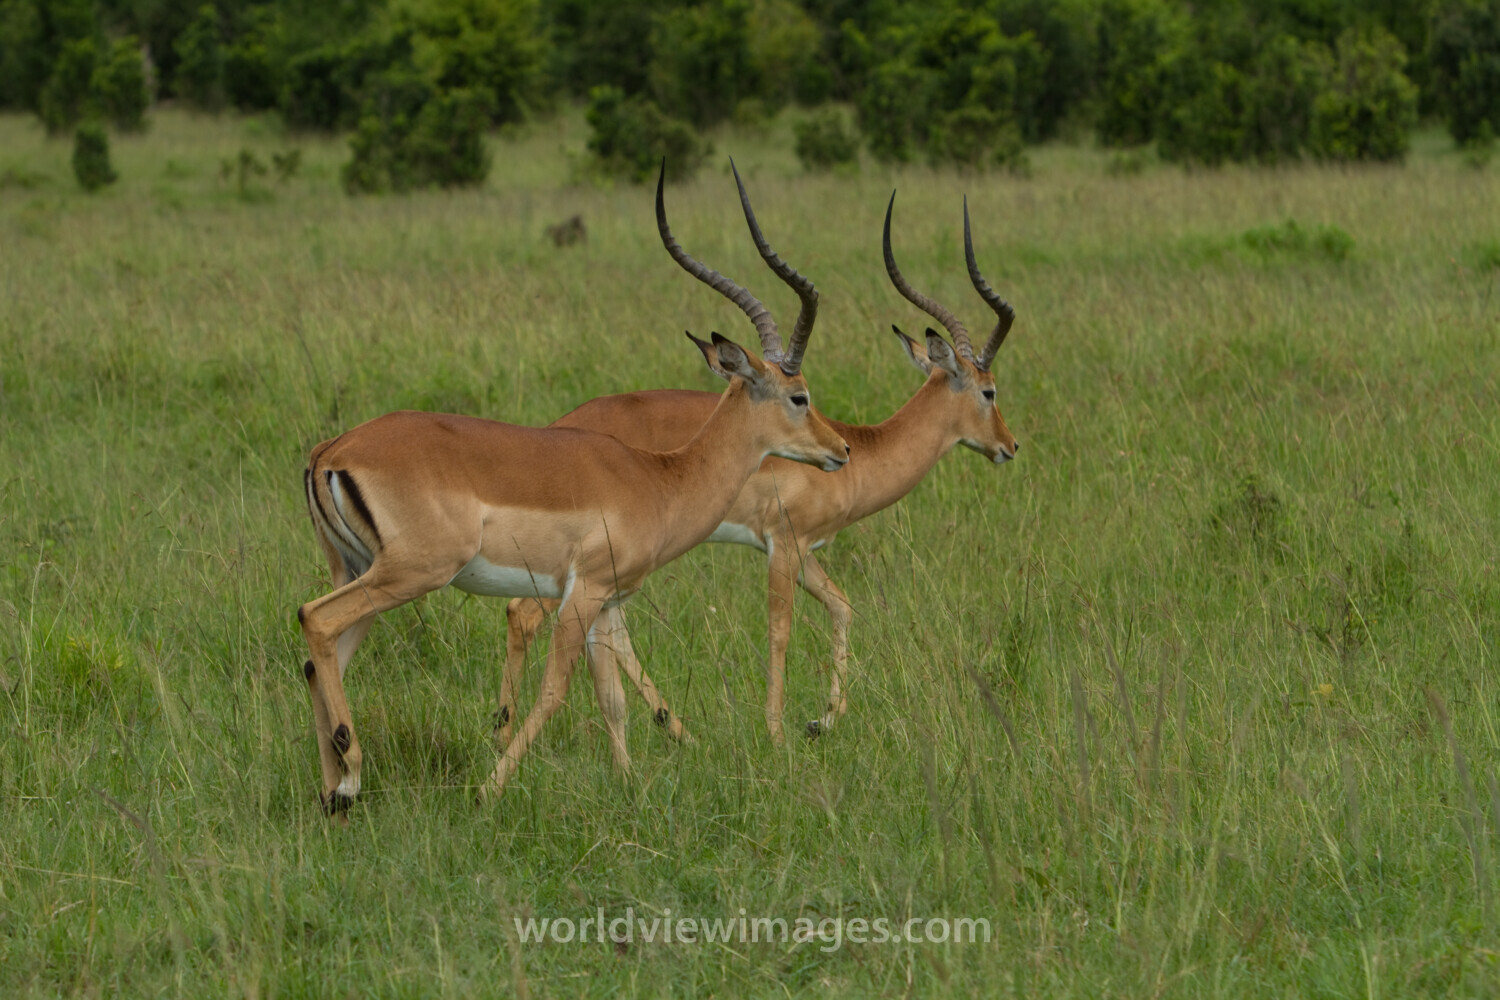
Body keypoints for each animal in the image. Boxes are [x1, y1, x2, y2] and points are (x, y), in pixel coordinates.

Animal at [297, 165, 849, 813]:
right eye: (799, 396)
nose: (842, 450)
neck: (658, 479)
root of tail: (332, 449)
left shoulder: (607, 603)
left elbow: (613, 701)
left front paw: (629, 787)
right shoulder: (580, 595)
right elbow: (556, 692)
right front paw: (488, 789)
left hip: (358, 568)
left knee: (319, 660)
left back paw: (332, 791)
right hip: (410, 573)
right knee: (314, 619)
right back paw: (350, 781)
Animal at [499, 192, 1018, 746]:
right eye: (989, 391)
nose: (1010, 445)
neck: (858, 448)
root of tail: (558, 430)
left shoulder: (806, 550)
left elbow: (843, 607)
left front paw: (821, 720)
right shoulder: (783, 544)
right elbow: (780, 631)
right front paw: (777, 733)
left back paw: (670, 728)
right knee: (525, 613)